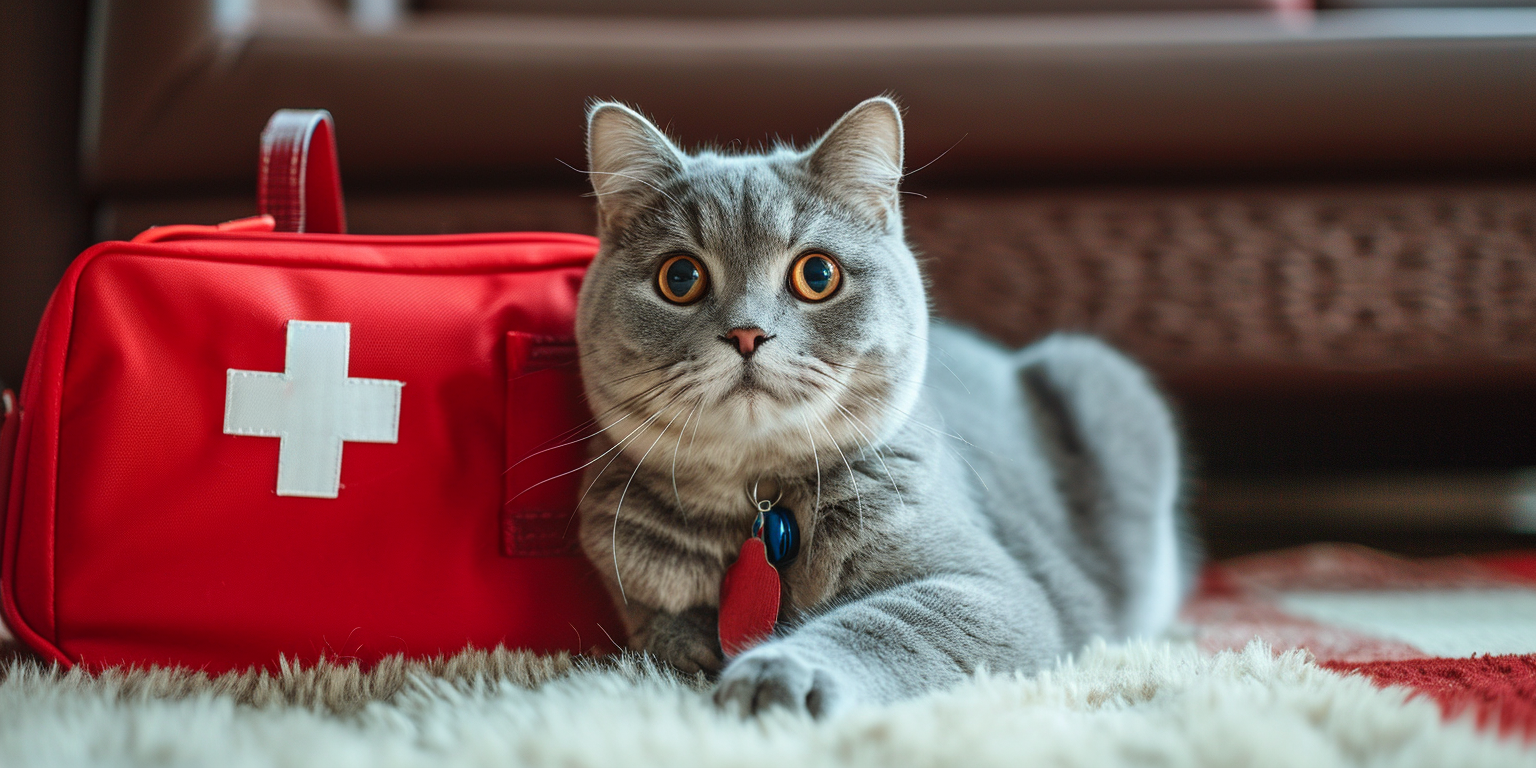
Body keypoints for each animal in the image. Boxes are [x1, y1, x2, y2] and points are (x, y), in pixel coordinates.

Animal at [577, 97, 1185, 718]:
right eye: (680, 277)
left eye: (817, 274)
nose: (747, 333)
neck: (760, 499)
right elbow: (663, 627)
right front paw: (693, 647)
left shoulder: (994, 588)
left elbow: (881, 624)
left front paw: (776, 671)